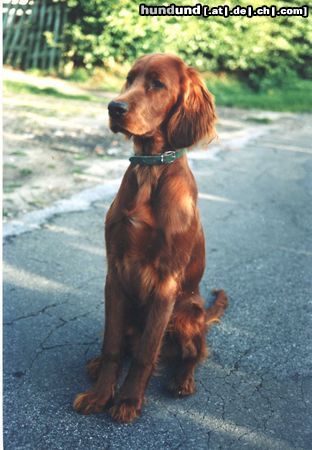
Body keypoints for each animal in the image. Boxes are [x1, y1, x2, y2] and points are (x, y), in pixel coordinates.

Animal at [74, 52, 228, 422]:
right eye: (129, 79)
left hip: (188, 314)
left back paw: (183, 379)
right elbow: (113, 345)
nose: (114, 107)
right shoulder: (115, 272)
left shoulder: (166, 282)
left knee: (194, 353)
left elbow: (146, 353)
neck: (150, 170)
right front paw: (100, 395)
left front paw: (128, 401)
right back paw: (96, 365)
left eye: (157, 84)